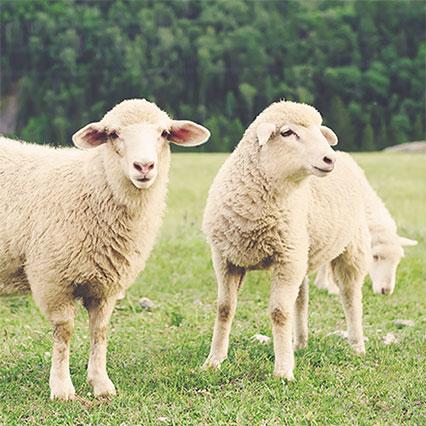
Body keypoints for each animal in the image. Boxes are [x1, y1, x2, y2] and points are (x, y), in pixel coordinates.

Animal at [0, 99, 210, 400]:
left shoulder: (107, 284)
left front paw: (101, 384)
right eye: (113, 134)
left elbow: (99, 331)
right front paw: (62, 389)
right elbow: (64, 332)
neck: (91, 186)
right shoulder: (52, 279)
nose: (144, 166)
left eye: (164, 133)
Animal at [201, 101, 372, 382]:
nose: (329, 159)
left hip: (350, 247)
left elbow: (279, 313)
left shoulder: (286, 259)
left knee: (350, 296)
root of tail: (348, 157)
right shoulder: (226, 258)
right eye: (287, 133)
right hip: (301, 251)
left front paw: (283, 371)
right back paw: (299, 344)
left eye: (320, 131)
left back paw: (356, 345)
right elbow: (224, 308)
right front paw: (214, 361)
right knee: (301, 300)